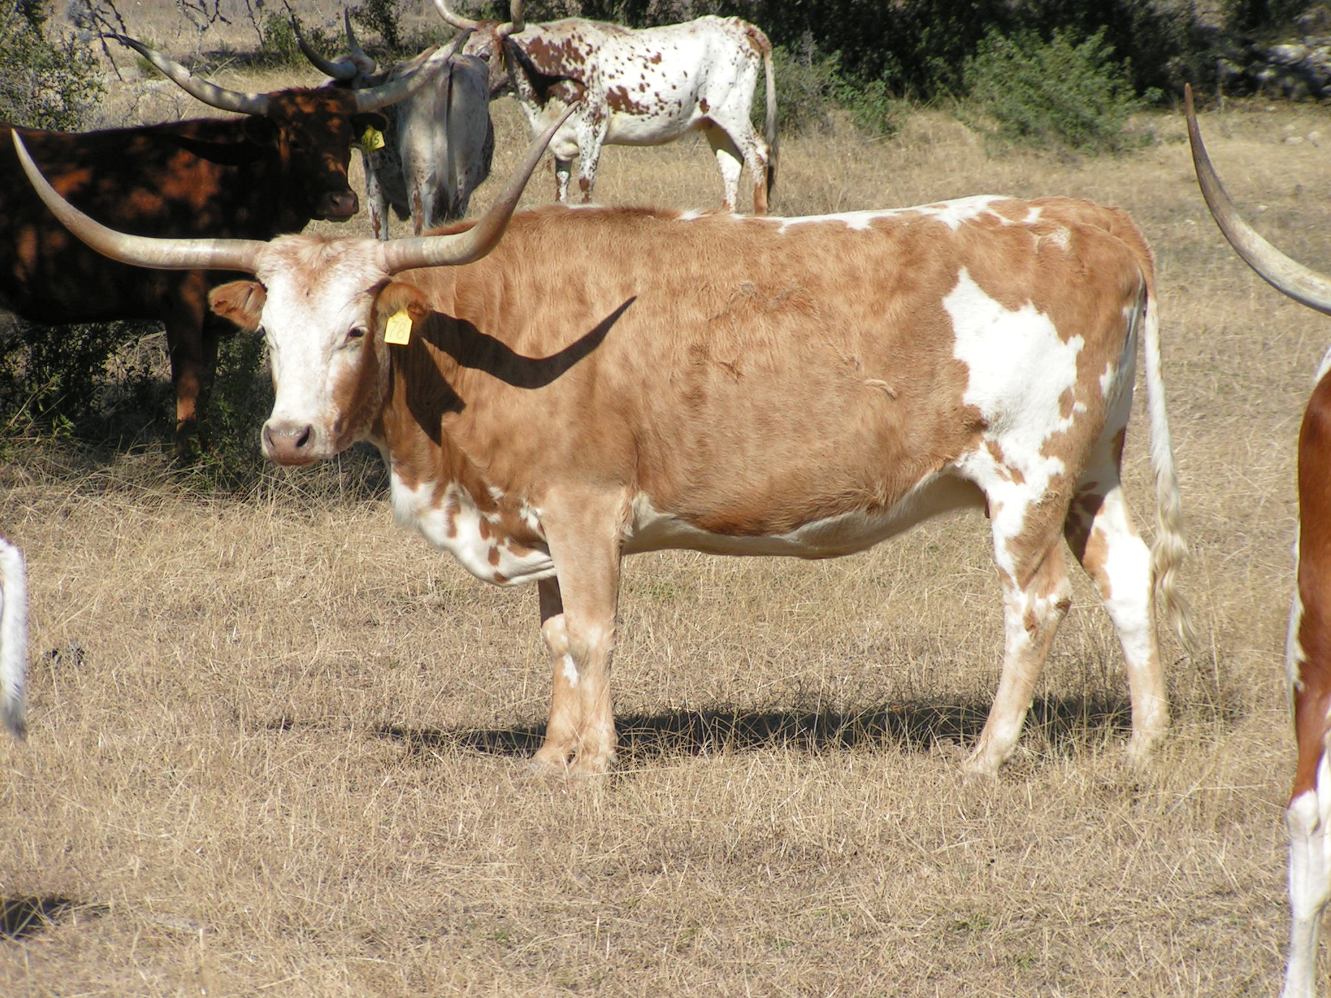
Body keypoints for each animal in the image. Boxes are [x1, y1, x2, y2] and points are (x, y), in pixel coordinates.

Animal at [0, 33, 454, 454]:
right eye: (295, 139)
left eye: (345, 137)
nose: (342, 201)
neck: (234, 183)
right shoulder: (181, 306)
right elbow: (188, 386)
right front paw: (187, 459)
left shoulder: (212, 320)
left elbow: (207, 387)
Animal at [14, 118, 1196, 782]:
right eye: (268, 336)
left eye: (355, 327)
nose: (288, 435)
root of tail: (1092, 220)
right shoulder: (532, 515)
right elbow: (551, 640)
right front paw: (549, 754)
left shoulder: (584, 510)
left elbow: (589, 633)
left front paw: (592, 763)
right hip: (1090, 469)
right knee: (1129, 574)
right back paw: (1143, 741)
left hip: (1024, 475)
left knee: (1036, 602)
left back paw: (988, 754)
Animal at [433, 0, 778, 213]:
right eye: (463, 48)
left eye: (485, 55)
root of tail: (739, 25)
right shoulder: (558, 141)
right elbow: (561, 189)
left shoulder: (592, 129)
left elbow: (586, 186)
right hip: (712, 123)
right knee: (731, 165)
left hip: (732, 112)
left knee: (758, 154)